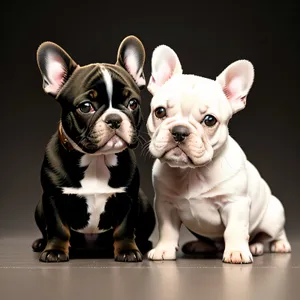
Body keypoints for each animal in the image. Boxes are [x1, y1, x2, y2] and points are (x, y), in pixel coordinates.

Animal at [31, 35, 156, 262]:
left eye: (133, 103)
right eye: (86, 107)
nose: (114, 119)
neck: (97, 159)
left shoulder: (128, 198)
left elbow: (125, 228)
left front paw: (127, 250)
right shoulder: (52, 199)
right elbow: (57, 228)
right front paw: (55, 250)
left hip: (144, 204)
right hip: (39, 207)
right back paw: (41, 243)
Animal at [145, 45, 290, 264]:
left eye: (209, 120)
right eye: (160, 112)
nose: (179, 131)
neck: (191, 172)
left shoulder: (235, 204)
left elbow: (235, 230)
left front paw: (237, 252)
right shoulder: (165, 205)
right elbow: (167, 230)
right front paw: (164, 250)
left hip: (274, 214)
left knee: (271, 234)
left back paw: (270, 245)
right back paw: (201, 246)